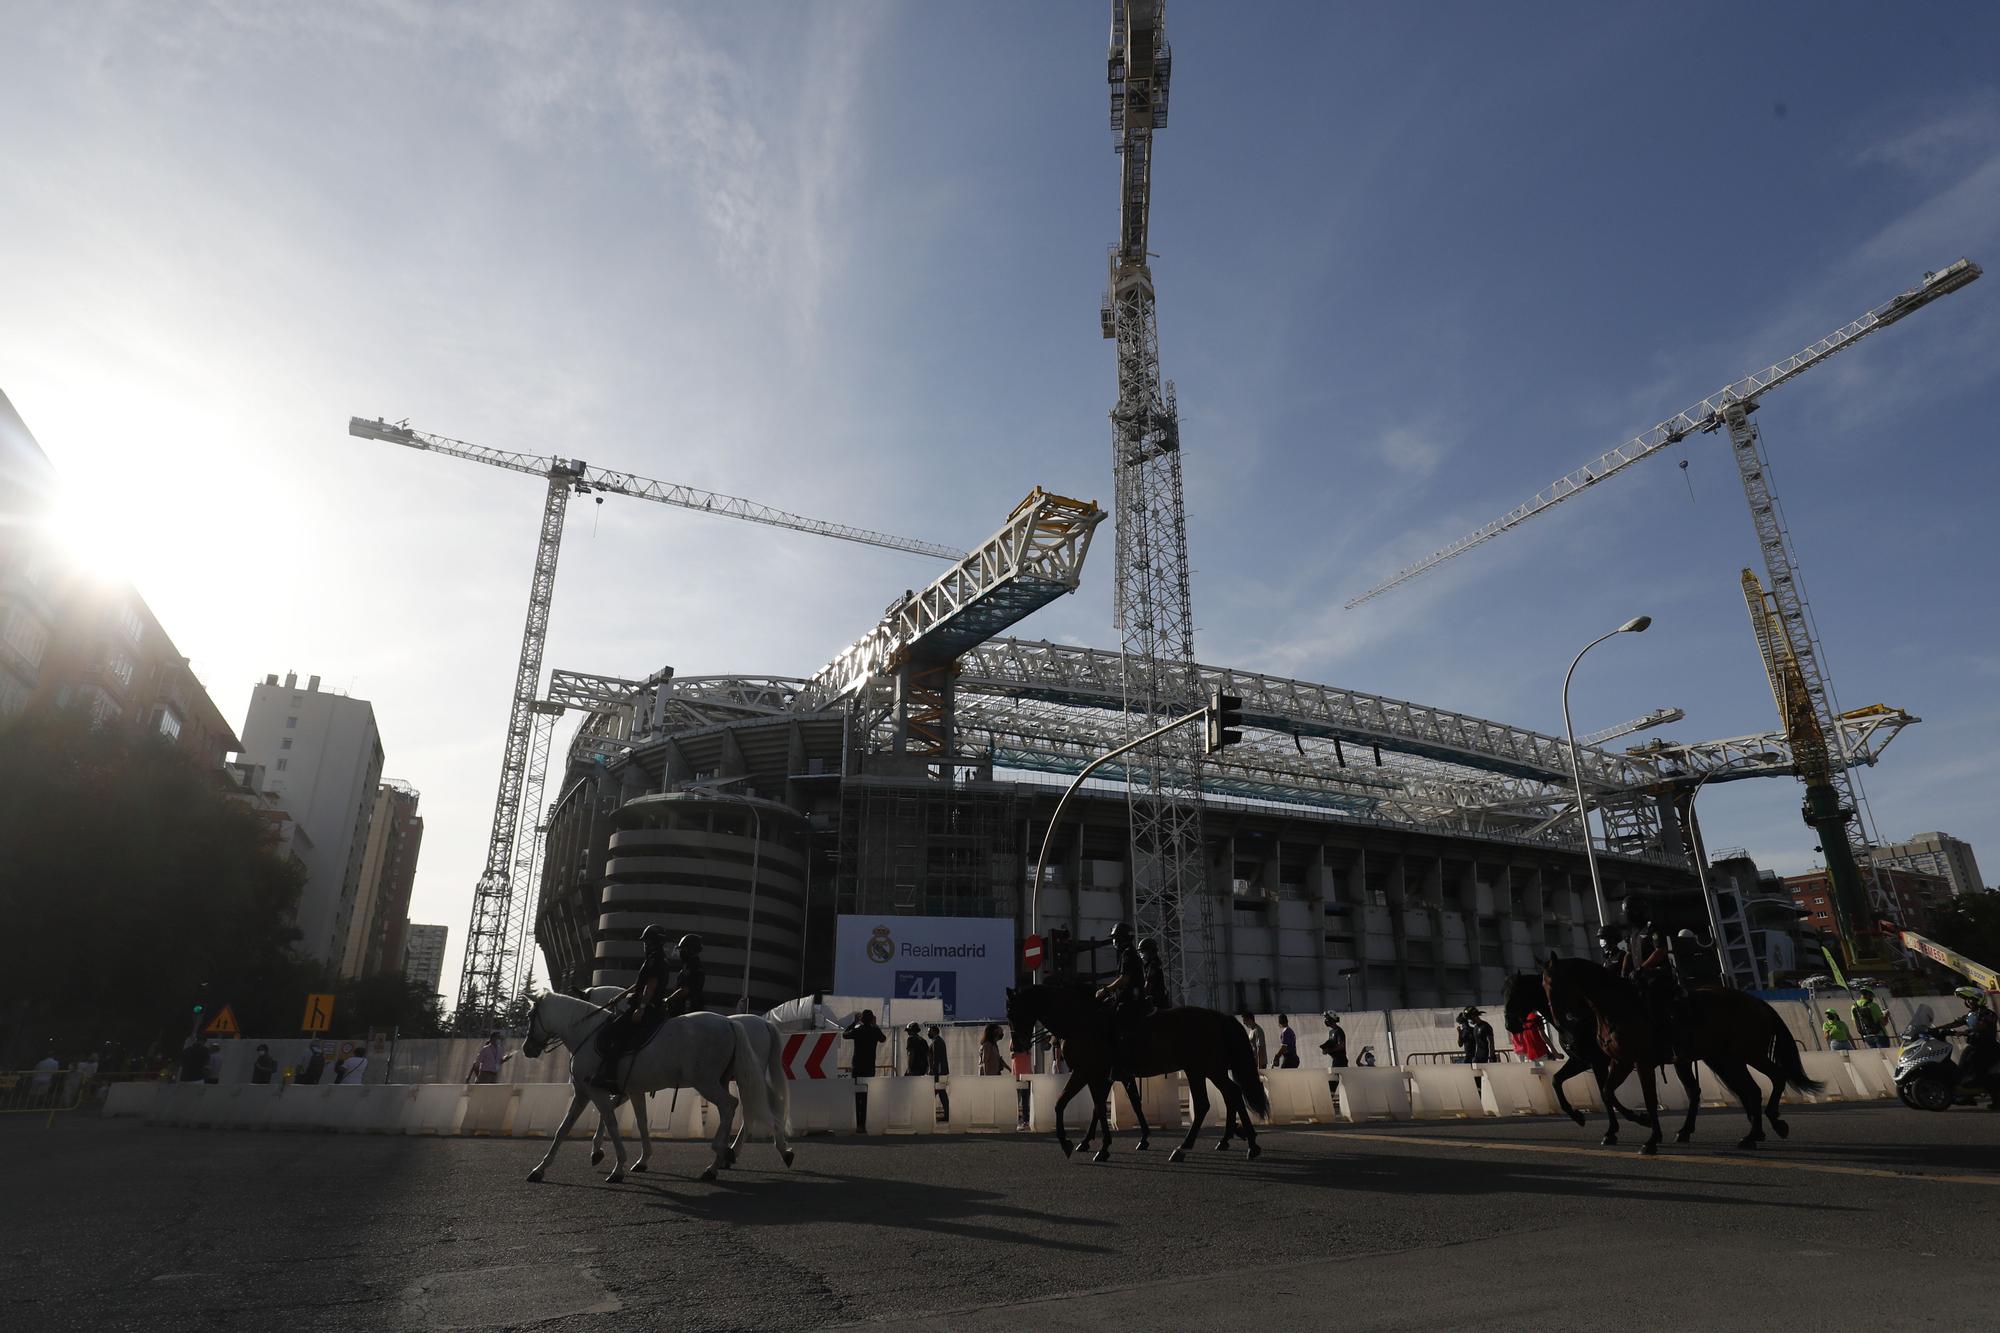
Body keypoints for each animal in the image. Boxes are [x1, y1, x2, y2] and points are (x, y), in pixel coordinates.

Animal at [520, 984, 752, 1184]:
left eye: (530, 1016)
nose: (527, 1049)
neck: (587, 1032)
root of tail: (730, 1023)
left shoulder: (597, 1090)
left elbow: (611, 1122)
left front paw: (617, 1167)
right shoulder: (600, 1092)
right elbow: (565, 1128)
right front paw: (539, 1169)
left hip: (706, 1083)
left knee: (730, 1105)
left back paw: (719, 1156)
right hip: (719, 1081)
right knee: (729, 1110)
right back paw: (719, 1160)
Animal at [572, 984, 788, 1160]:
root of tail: (765, 1023)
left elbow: (607, 1110)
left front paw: (597, 1148)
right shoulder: (627, 1088)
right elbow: (608, 1110)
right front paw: (598, 1148)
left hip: (743, 1078)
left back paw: (740, 1149)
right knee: (767, 1102)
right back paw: (777, 1147)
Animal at [1000, 980, 1264, 1160]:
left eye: (1012, 1012)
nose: (1017, 1046)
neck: (1081, 1022)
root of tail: (1217, 1016)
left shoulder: (1088, 1072)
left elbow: (1075, 1104)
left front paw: (1084, 1145)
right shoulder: (1099, 1075)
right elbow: (1090, 1106)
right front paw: (1088, 1143)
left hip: (1202, 1068)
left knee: (1214, 1101)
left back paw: (1193, 1147)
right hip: (1205, 1069)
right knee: (1228, 1096)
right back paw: (1238, 1142)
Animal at [1536, 956, 1824, 1152]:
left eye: (1556, 982)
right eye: (1543, 985)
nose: (1560, 1020)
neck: (1616, 1008)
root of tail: (1758, 1003)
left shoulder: (1638, 1063)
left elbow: (1648, 1099)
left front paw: (1649, 1138)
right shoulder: (1619, 1061)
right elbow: (1606, 1093)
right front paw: (1630, 1124)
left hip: (1746, 1054)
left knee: (1773, 1078)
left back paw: (1773, 1122)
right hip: (1721, 1059)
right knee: (1745, 1091)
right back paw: (1749, 1134)